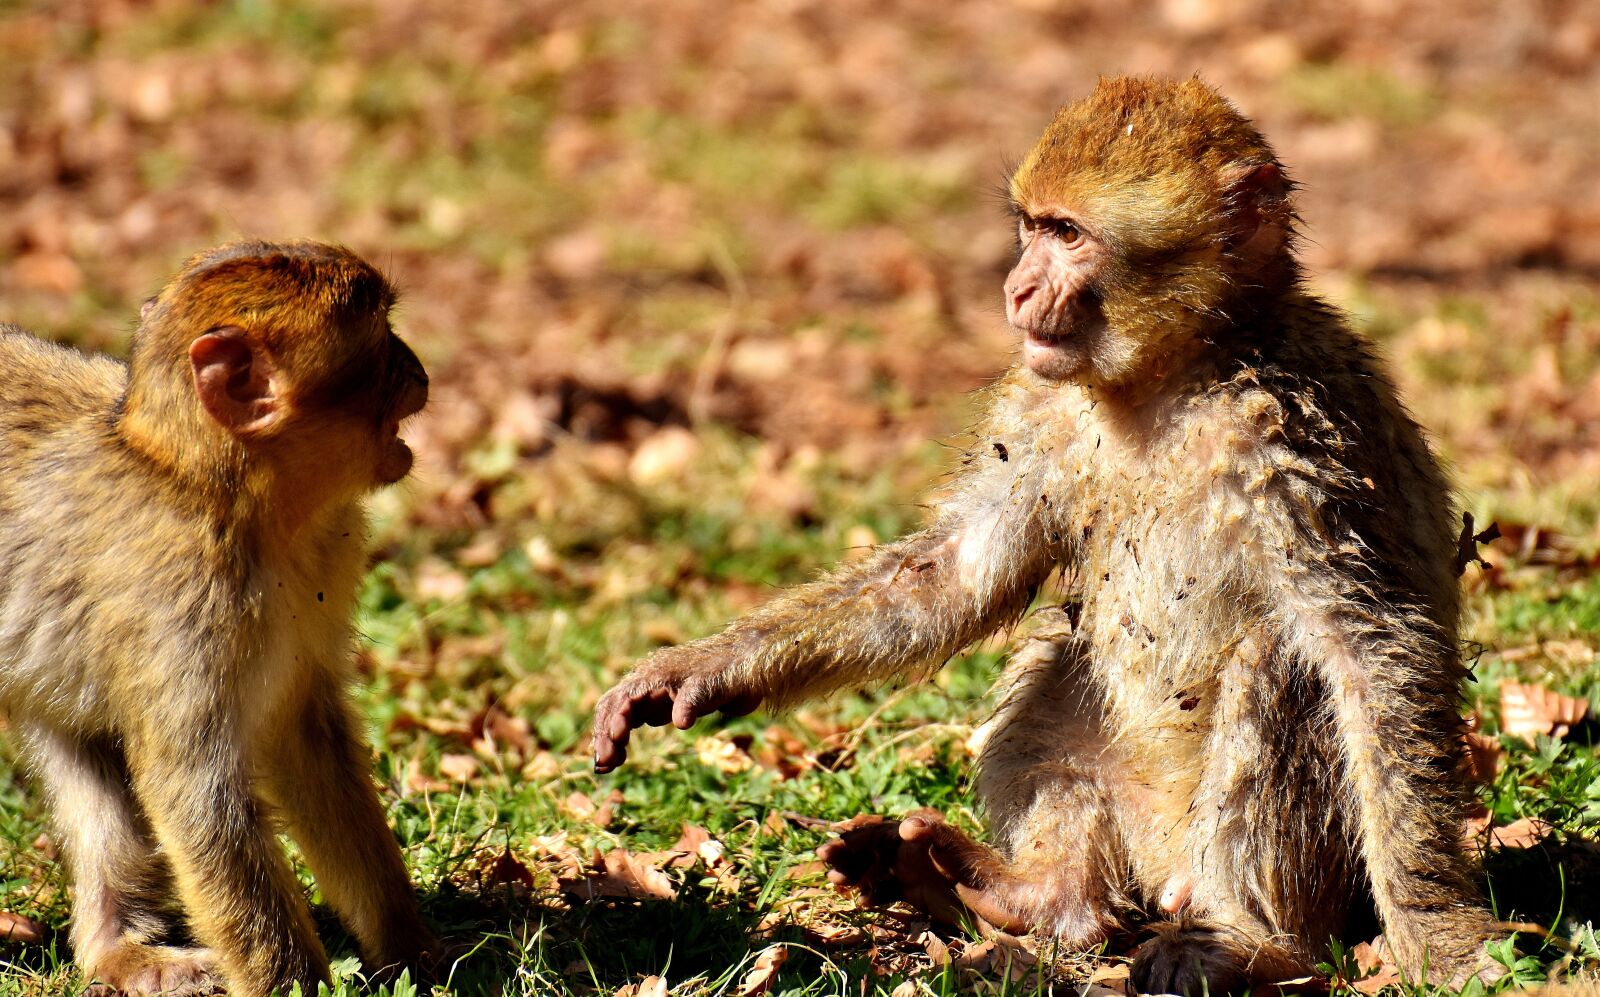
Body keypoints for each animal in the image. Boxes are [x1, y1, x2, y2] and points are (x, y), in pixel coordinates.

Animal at [0, 241, 435, 996]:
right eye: (380, 338)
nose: (418, 369)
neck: (223, 496)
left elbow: (305, 736)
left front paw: (410, 946)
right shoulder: (180, 604)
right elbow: (196, 795)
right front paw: (297, 985)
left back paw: (119, 951)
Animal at [593, 77, 1502, 994]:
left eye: (1068, 235)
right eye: (1032, 226)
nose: (1016, 286)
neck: (1171, 377)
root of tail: (1164, 868)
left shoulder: (1301, 435)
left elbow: (1371, 646)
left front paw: (1437, 931)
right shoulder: (1037, 410)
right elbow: (952, 577)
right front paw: (694, 669)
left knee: (1274, 661)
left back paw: (1248, 939)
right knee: (1060, 652)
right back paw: (1033, 895)